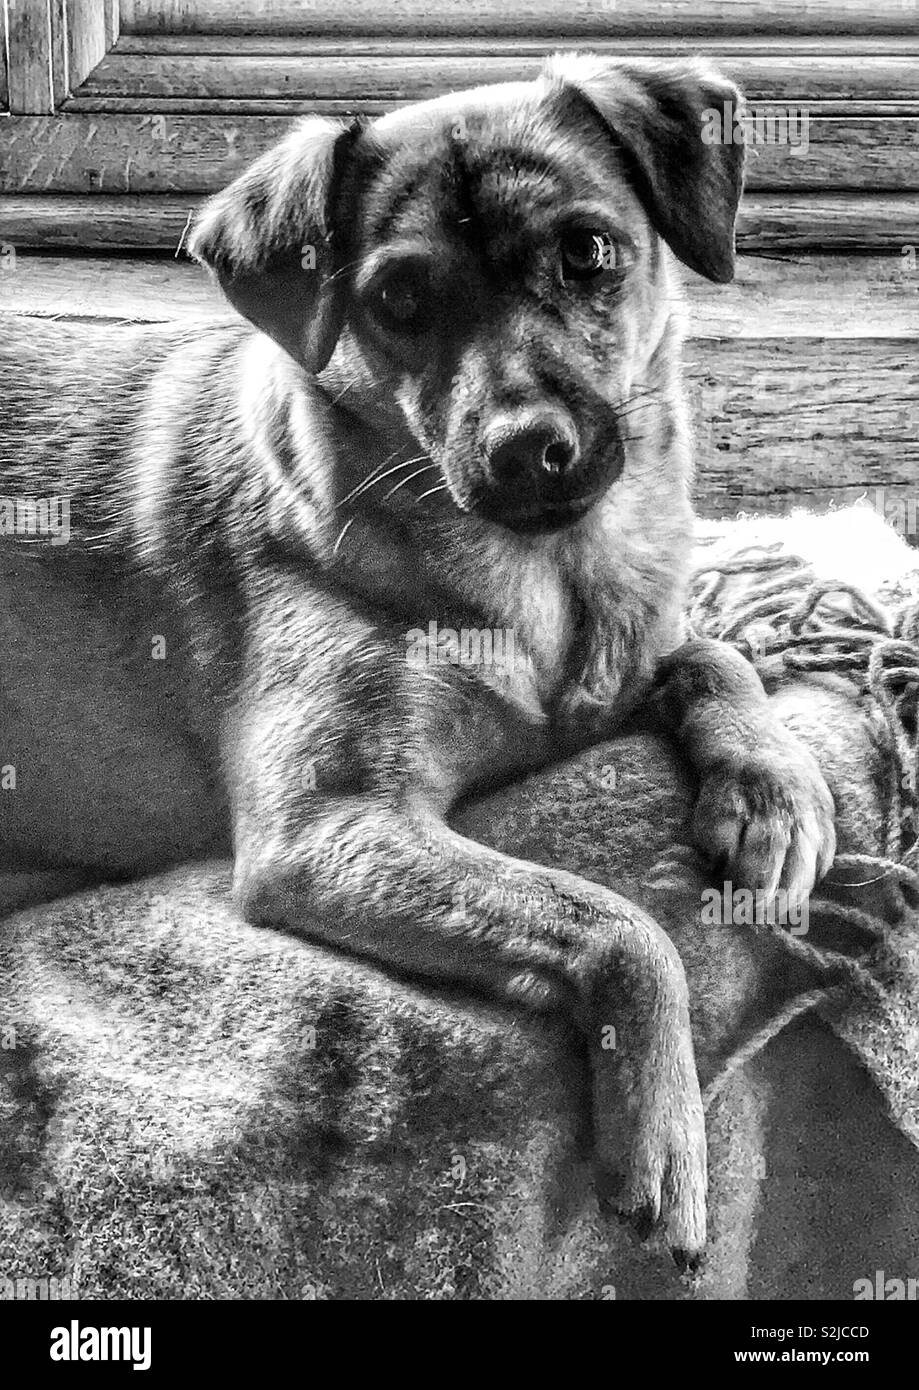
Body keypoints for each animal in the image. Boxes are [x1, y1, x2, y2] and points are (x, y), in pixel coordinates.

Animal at [0, 59, 834, 1267]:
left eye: (588, 252)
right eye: (397, 300)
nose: (527, 448)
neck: (543, 578)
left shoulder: (622, 661)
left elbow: (712, 652)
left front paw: (769, 787)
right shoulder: (331, 830)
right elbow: (618, 926)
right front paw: (665, 1132)